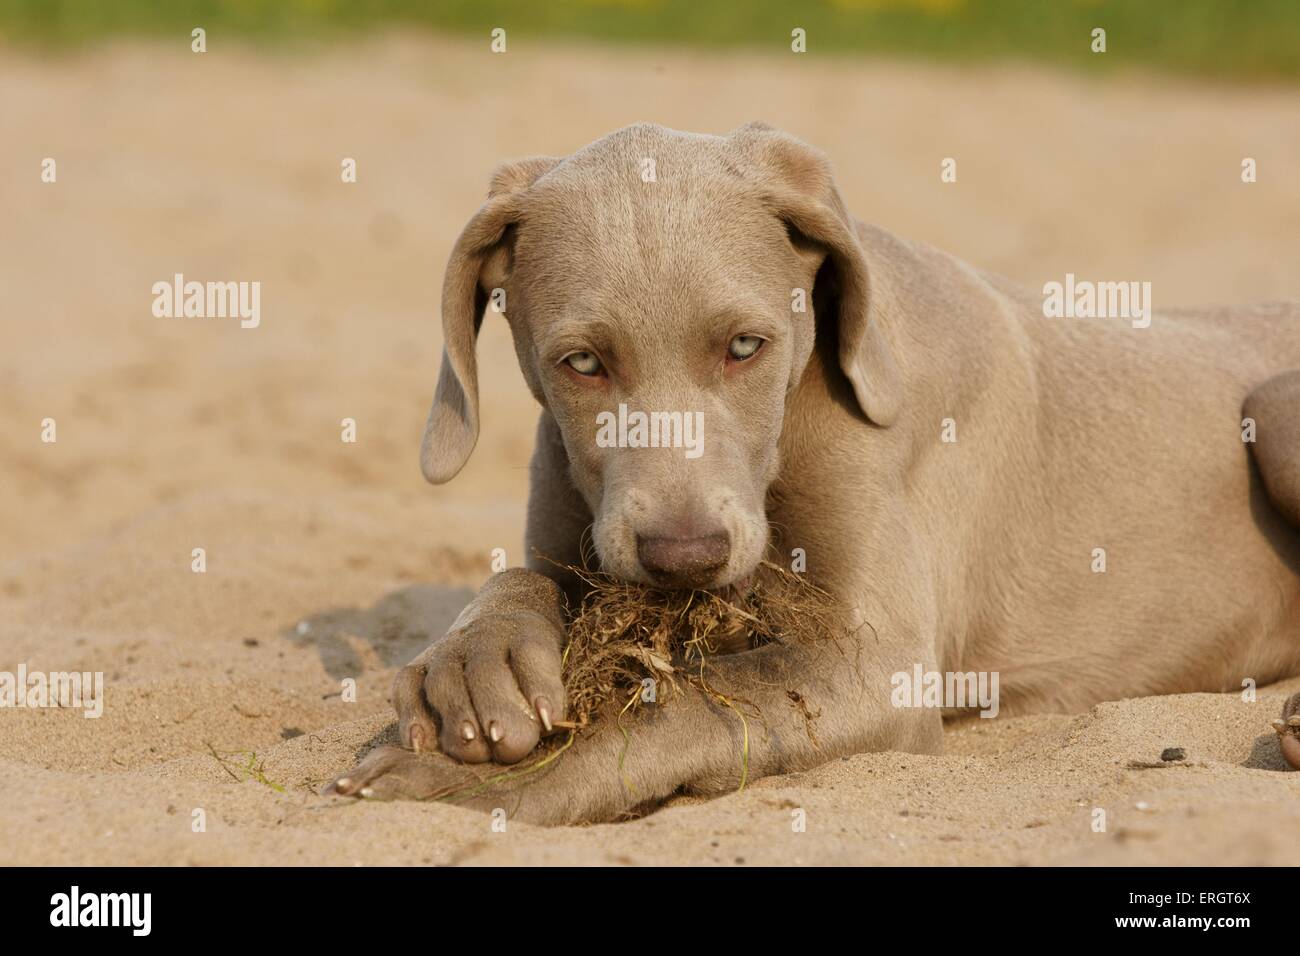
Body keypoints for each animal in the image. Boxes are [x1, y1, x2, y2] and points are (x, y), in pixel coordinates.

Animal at [327, 121, 1300, 822]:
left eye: (745, 347)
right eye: (583, 363)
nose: (685, 559)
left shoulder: (887, 667)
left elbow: (683, 704)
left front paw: (479, 789)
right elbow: (523, 578)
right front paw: (475, 663)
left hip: (1274, 406)